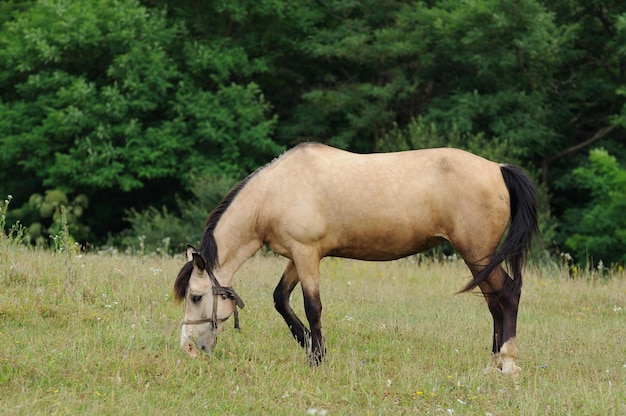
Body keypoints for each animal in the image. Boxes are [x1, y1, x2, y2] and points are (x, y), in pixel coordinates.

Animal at [173, 142, 540, 374]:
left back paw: (508, 363)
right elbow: (281, 298)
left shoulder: (307, 254)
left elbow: (312, 306)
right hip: (480, 259)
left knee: (508, 294)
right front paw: (307, 343)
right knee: (495, 303)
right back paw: (492, 363)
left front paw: (317, 358)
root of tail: (498, 168)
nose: (187, 349)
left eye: (196, 297)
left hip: (477, 253)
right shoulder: (298, 255)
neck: (274, 194)